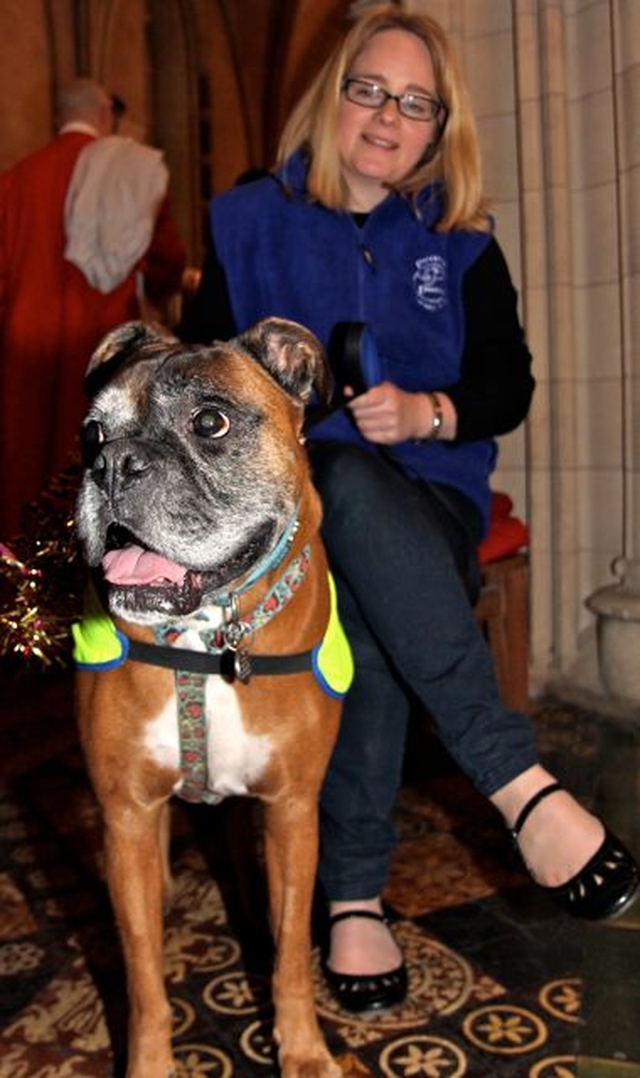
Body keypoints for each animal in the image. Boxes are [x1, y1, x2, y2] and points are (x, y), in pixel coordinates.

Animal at [71, 319, 346, 1078]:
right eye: (91, 434)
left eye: (210, 422)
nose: (113, 466)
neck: (204, 635)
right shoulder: (126, 816)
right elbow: (142, 978)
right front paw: (150, 1064)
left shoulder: (293, 812)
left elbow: (291, 954)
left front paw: (303, 1050)